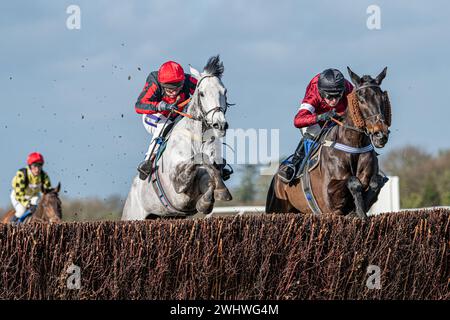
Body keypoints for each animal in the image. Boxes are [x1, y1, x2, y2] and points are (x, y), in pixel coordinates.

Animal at [121, 55, 234, 220]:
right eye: (202, 93)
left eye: (224, 92)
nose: (219, 125)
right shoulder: (177, 180)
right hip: (132, 215)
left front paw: (213, 196)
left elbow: (211, 175)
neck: (197, 137)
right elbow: (200, 158)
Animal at [266, 66, 392, 219]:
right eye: (361, 98)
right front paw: (359, 211)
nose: (380, 134)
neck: (354, 144)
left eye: (382, 97)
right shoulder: (329, 199)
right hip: (276, 206)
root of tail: (276, 178)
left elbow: (375, 182)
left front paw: (358, 211)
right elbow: (353, 181)